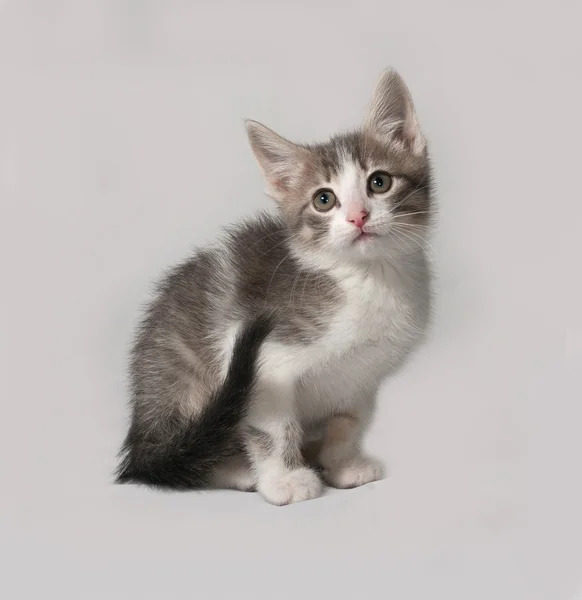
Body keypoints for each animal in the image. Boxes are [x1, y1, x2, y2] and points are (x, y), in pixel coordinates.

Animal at [116, 68, 434, 504]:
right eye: (323, 200)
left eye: (380, 182)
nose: (358, 217)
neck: (368, 278)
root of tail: (141, 435)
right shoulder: (265, 358)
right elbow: (273, 428)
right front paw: (284, 481)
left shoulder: (363, 375)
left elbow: (349, 420)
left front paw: (343, 464)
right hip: (189, 386)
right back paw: (236, 470)